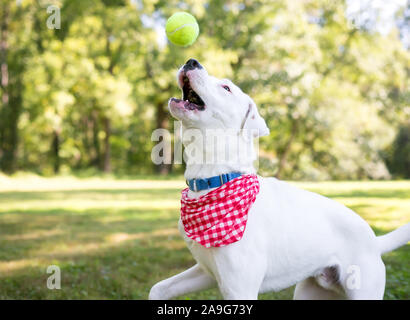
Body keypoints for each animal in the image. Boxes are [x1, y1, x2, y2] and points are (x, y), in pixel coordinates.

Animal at [150, 58, 410, 300]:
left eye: (226, 88)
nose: (191, 61)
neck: (215, 179)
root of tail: (374, 241)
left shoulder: (239, 288)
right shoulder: (207, 271)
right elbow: (158, 288)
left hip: (364, 290)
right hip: (309, 291)